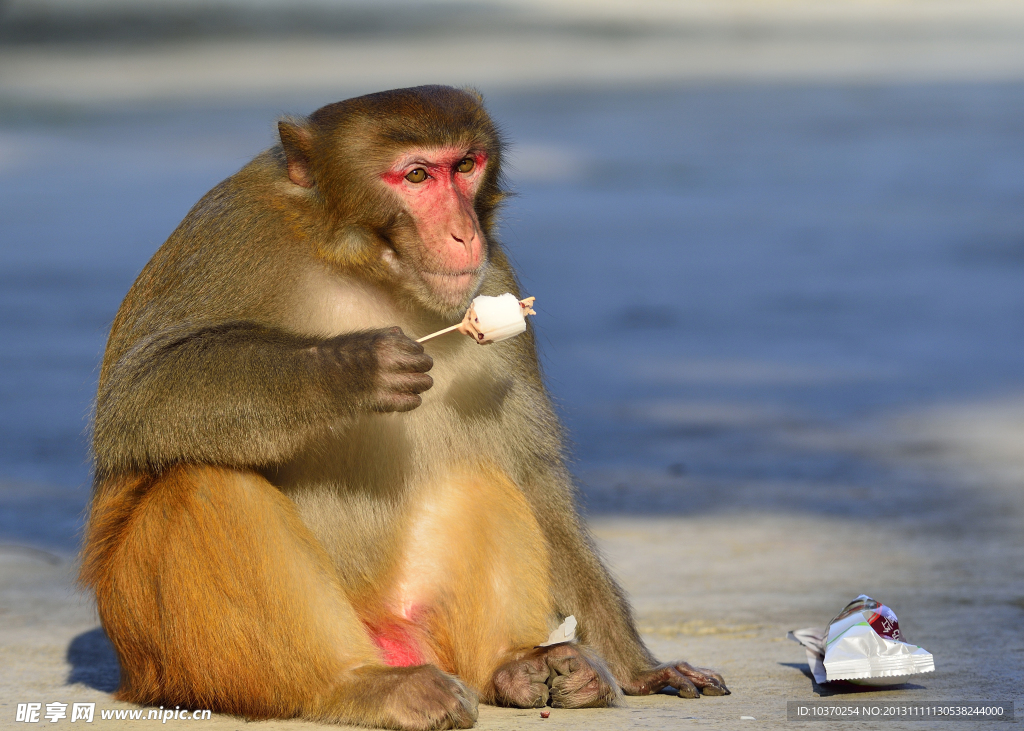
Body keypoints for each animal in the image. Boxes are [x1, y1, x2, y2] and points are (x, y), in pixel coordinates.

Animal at [81, 87, 729, 728]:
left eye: (465, 166)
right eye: (416, 175)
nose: (464, 234)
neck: (360, 263)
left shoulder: (494, 277)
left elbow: (533, 474)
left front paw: (639, 668)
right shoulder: (231, 233)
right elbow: (137, 400)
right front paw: (350, 367)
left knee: (481, 475)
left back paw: (518, 666)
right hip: (170, 652)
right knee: (201, 483)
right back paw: (358, 685)